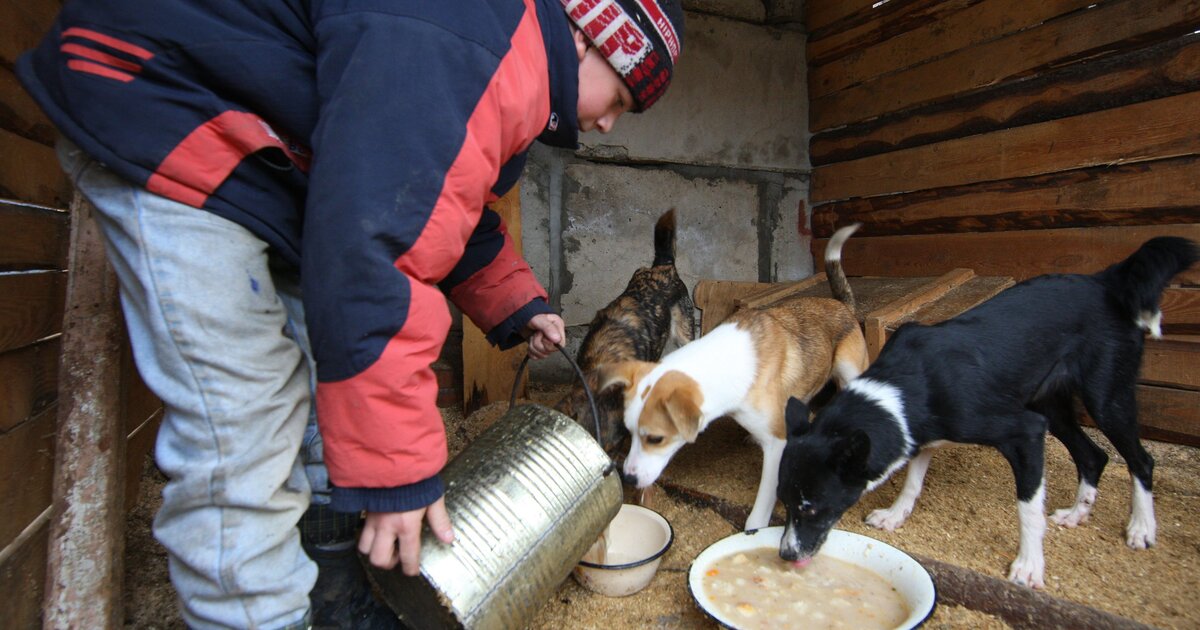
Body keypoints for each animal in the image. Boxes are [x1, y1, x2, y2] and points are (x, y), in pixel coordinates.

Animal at [604, 223, 868, 528]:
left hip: (849, 370)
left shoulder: (776, 447)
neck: (724, 361)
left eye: (656, 439)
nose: (628, 477)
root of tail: (842, 305)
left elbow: (761, 508)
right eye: (629, 432)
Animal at [772, 232, 1195, 588]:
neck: (911, 382)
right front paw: (895, 515)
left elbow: (1028, 509)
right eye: (785, 502)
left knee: (1141, 460)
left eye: (812, 508)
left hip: (1106, 399)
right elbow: (912, 483)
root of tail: (1104, 281)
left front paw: (1029, 566)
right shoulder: (922, 433)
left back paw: (1141, 528)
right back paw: (1077, 513)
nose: (786, 554)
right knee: (1094, 456)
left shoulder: (1025, 432)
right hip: (1052, 406)